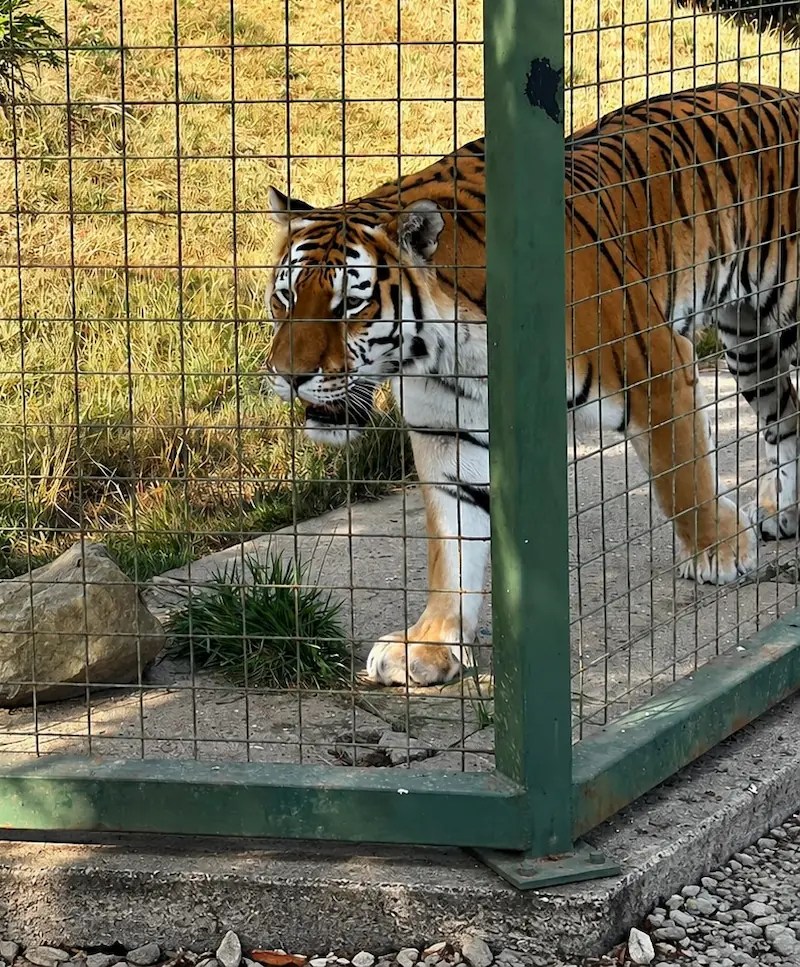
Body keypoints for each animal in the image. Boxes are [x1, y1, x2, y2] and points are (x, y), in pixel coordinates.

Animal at [264, 82, 800, 687]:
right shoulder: (448, 433)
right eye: (285, 298)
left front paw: (719, 552)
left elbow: (680, 478)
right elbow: (452, 543)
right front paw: (430, 644)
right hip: (749, 341)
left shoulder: (659, 369)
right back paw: (784, 511)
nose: (288, 377)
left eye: (348, 306)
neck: (445, 351)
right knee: (787, 416)